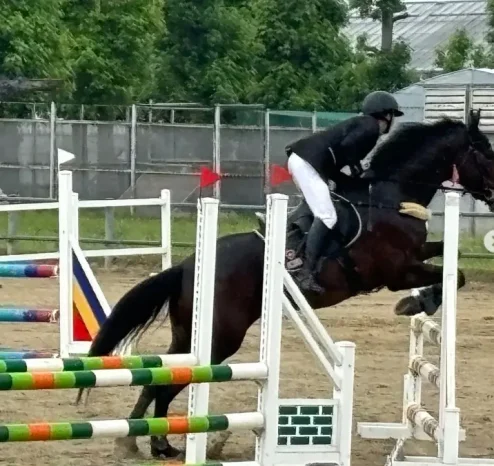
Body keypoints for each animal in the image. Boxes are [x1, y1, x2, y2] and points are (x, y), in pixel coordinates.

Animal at [79, 110, 494, 458]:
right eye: (487, 155)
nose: (493, 196)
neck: (392, 198)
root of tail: (185, 265)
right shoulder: (397, 271)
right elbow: (450, 275)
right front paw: (415, 303)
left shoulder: (416, 254)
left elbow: (453, 262)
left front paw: (421, 301)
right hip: (219, 339)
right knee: (170, 382)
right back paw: (160, 444)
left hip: (189, 334)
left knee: (159, 378)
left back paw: (134, 442)